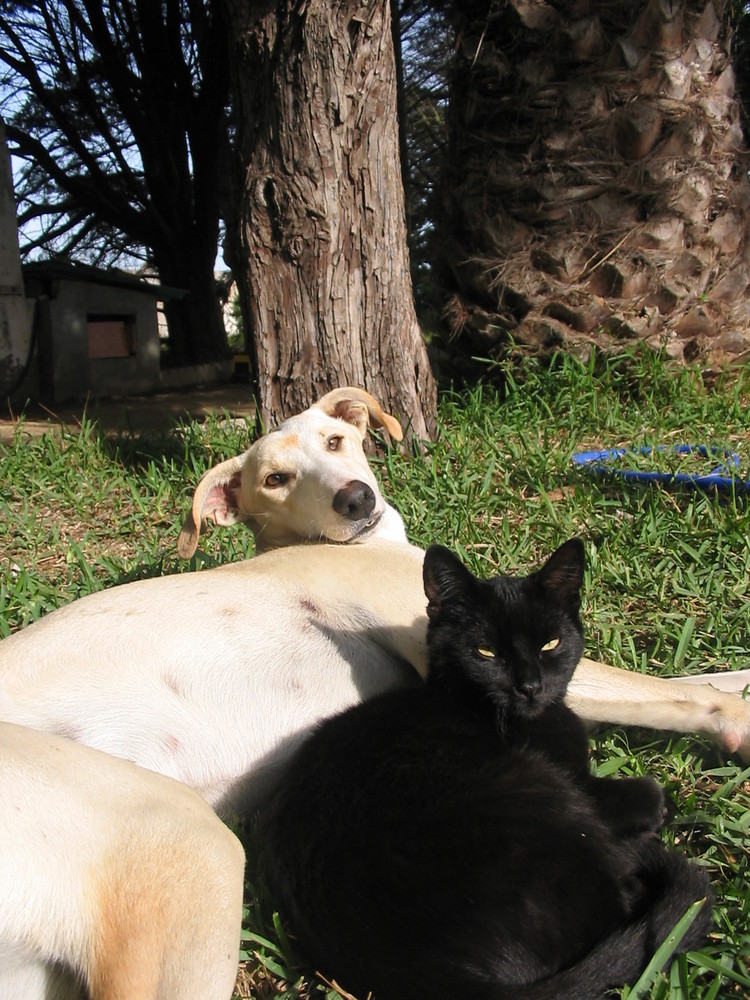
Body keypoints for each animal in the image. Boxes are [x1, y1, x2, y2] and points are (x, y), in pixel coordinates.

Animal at [4, 382, 750, 820]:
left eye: (337, 440)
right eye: (276, 479)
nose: (355, 499)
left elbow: (701, 676)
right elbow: (677, 693)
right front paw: (733, 720)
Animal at [258, 544, 712, 996]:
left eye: (550, 644)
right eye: (486, 652)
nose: (529, 686)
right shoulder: (581, 785)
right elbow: (646, 793)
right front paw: (658, 805)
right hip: (536, 794)